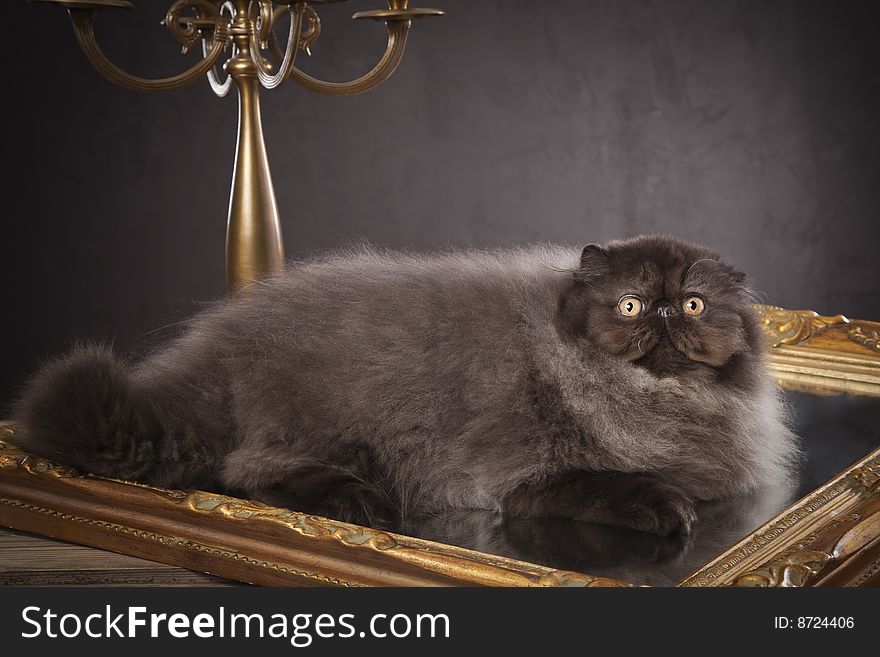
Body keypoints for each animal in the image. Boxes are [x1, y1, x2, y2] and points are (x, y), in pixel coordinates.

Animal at [12, 234, 796, 532]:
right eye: (631, 304)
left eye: (692, 304)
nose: (662, 312)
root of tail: (222, 344)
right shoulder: (527, 477)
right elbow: (616, 484)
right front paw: (667, 505)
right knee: (242, 469)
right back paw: (354, 499)